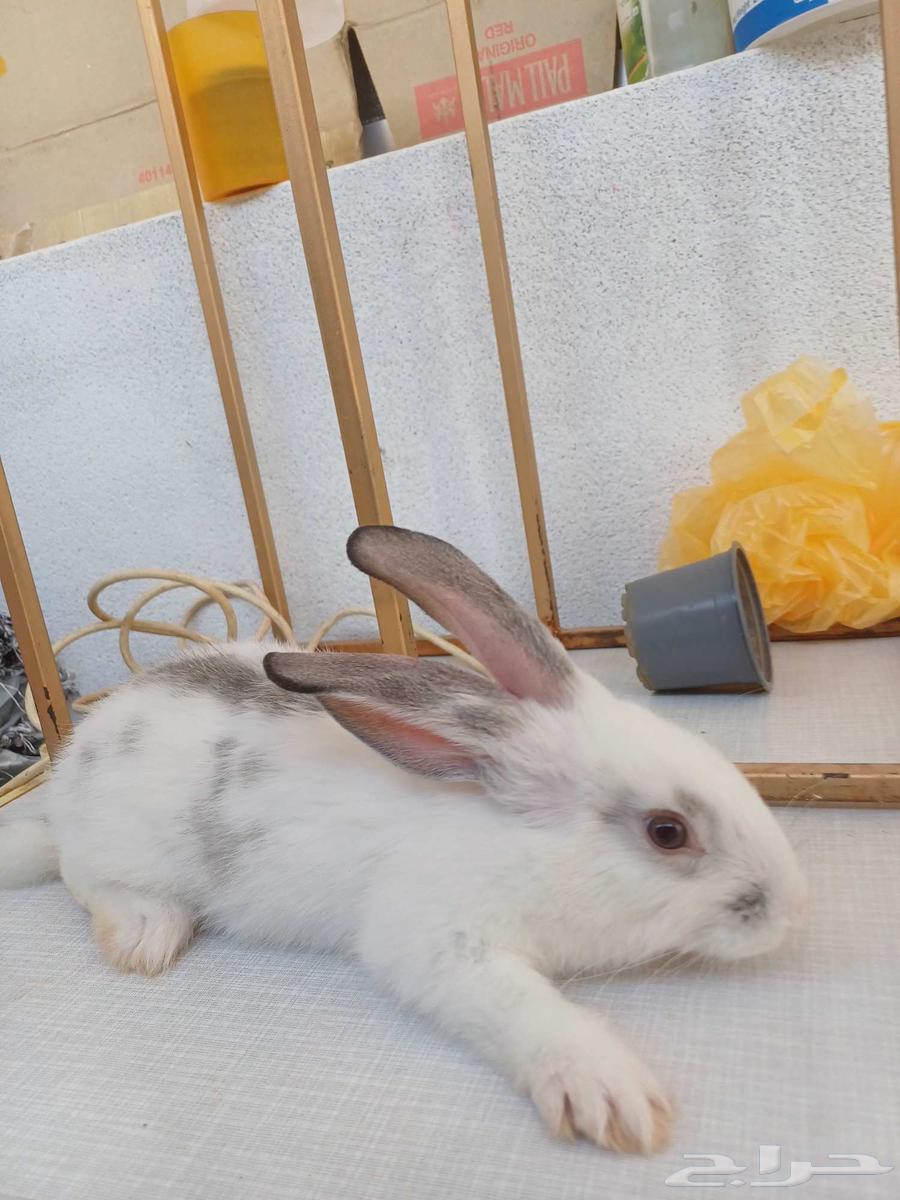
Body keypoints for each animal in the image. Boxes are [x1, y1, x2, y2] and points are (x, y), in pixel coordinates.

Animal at [0, 526, 807, 1154]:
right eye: (668, 832)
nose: (789, 914)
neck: (514, 833)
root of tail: (67, 778)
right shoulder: (436, 937)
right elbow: (521, 1007)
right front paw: (613, 1096)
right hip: (120, 850)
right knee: (85, 881)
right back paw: (146, 935)